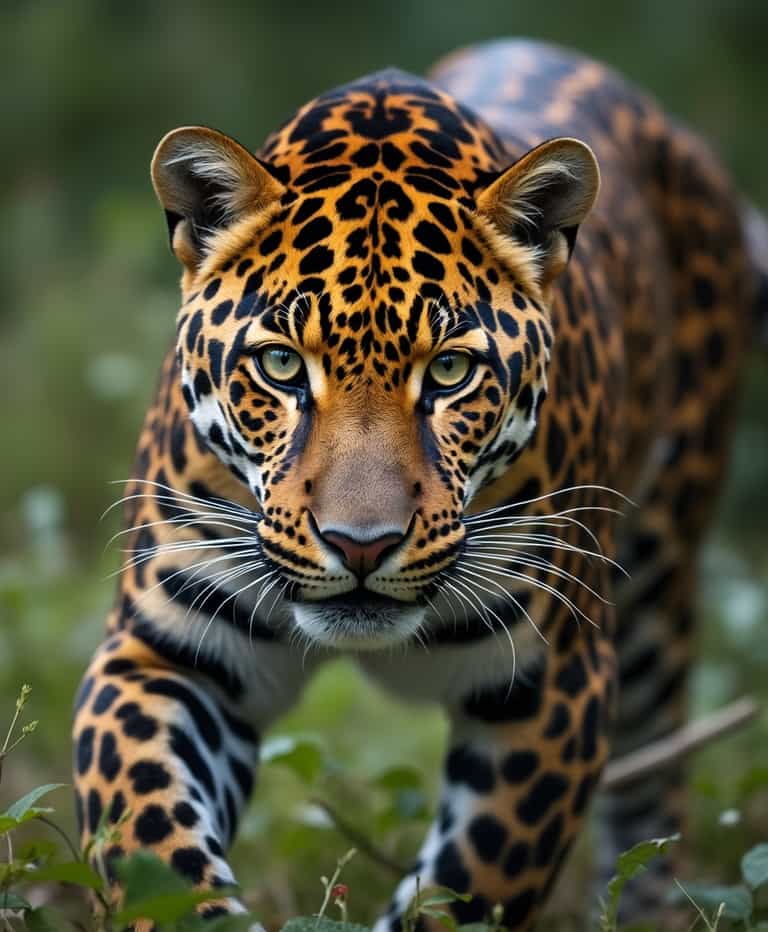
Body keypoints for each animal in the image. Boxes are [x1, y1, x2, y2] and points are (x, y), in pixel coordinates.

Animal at [72, 38, 767, 930]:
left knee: (656, 784)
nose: (360, 546)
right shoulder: (164, 654)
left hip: (658, 582)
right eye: (281, 365)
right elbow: (148, 837)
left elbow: (474, 880)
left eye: (448, 373)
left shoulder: (554, 684)